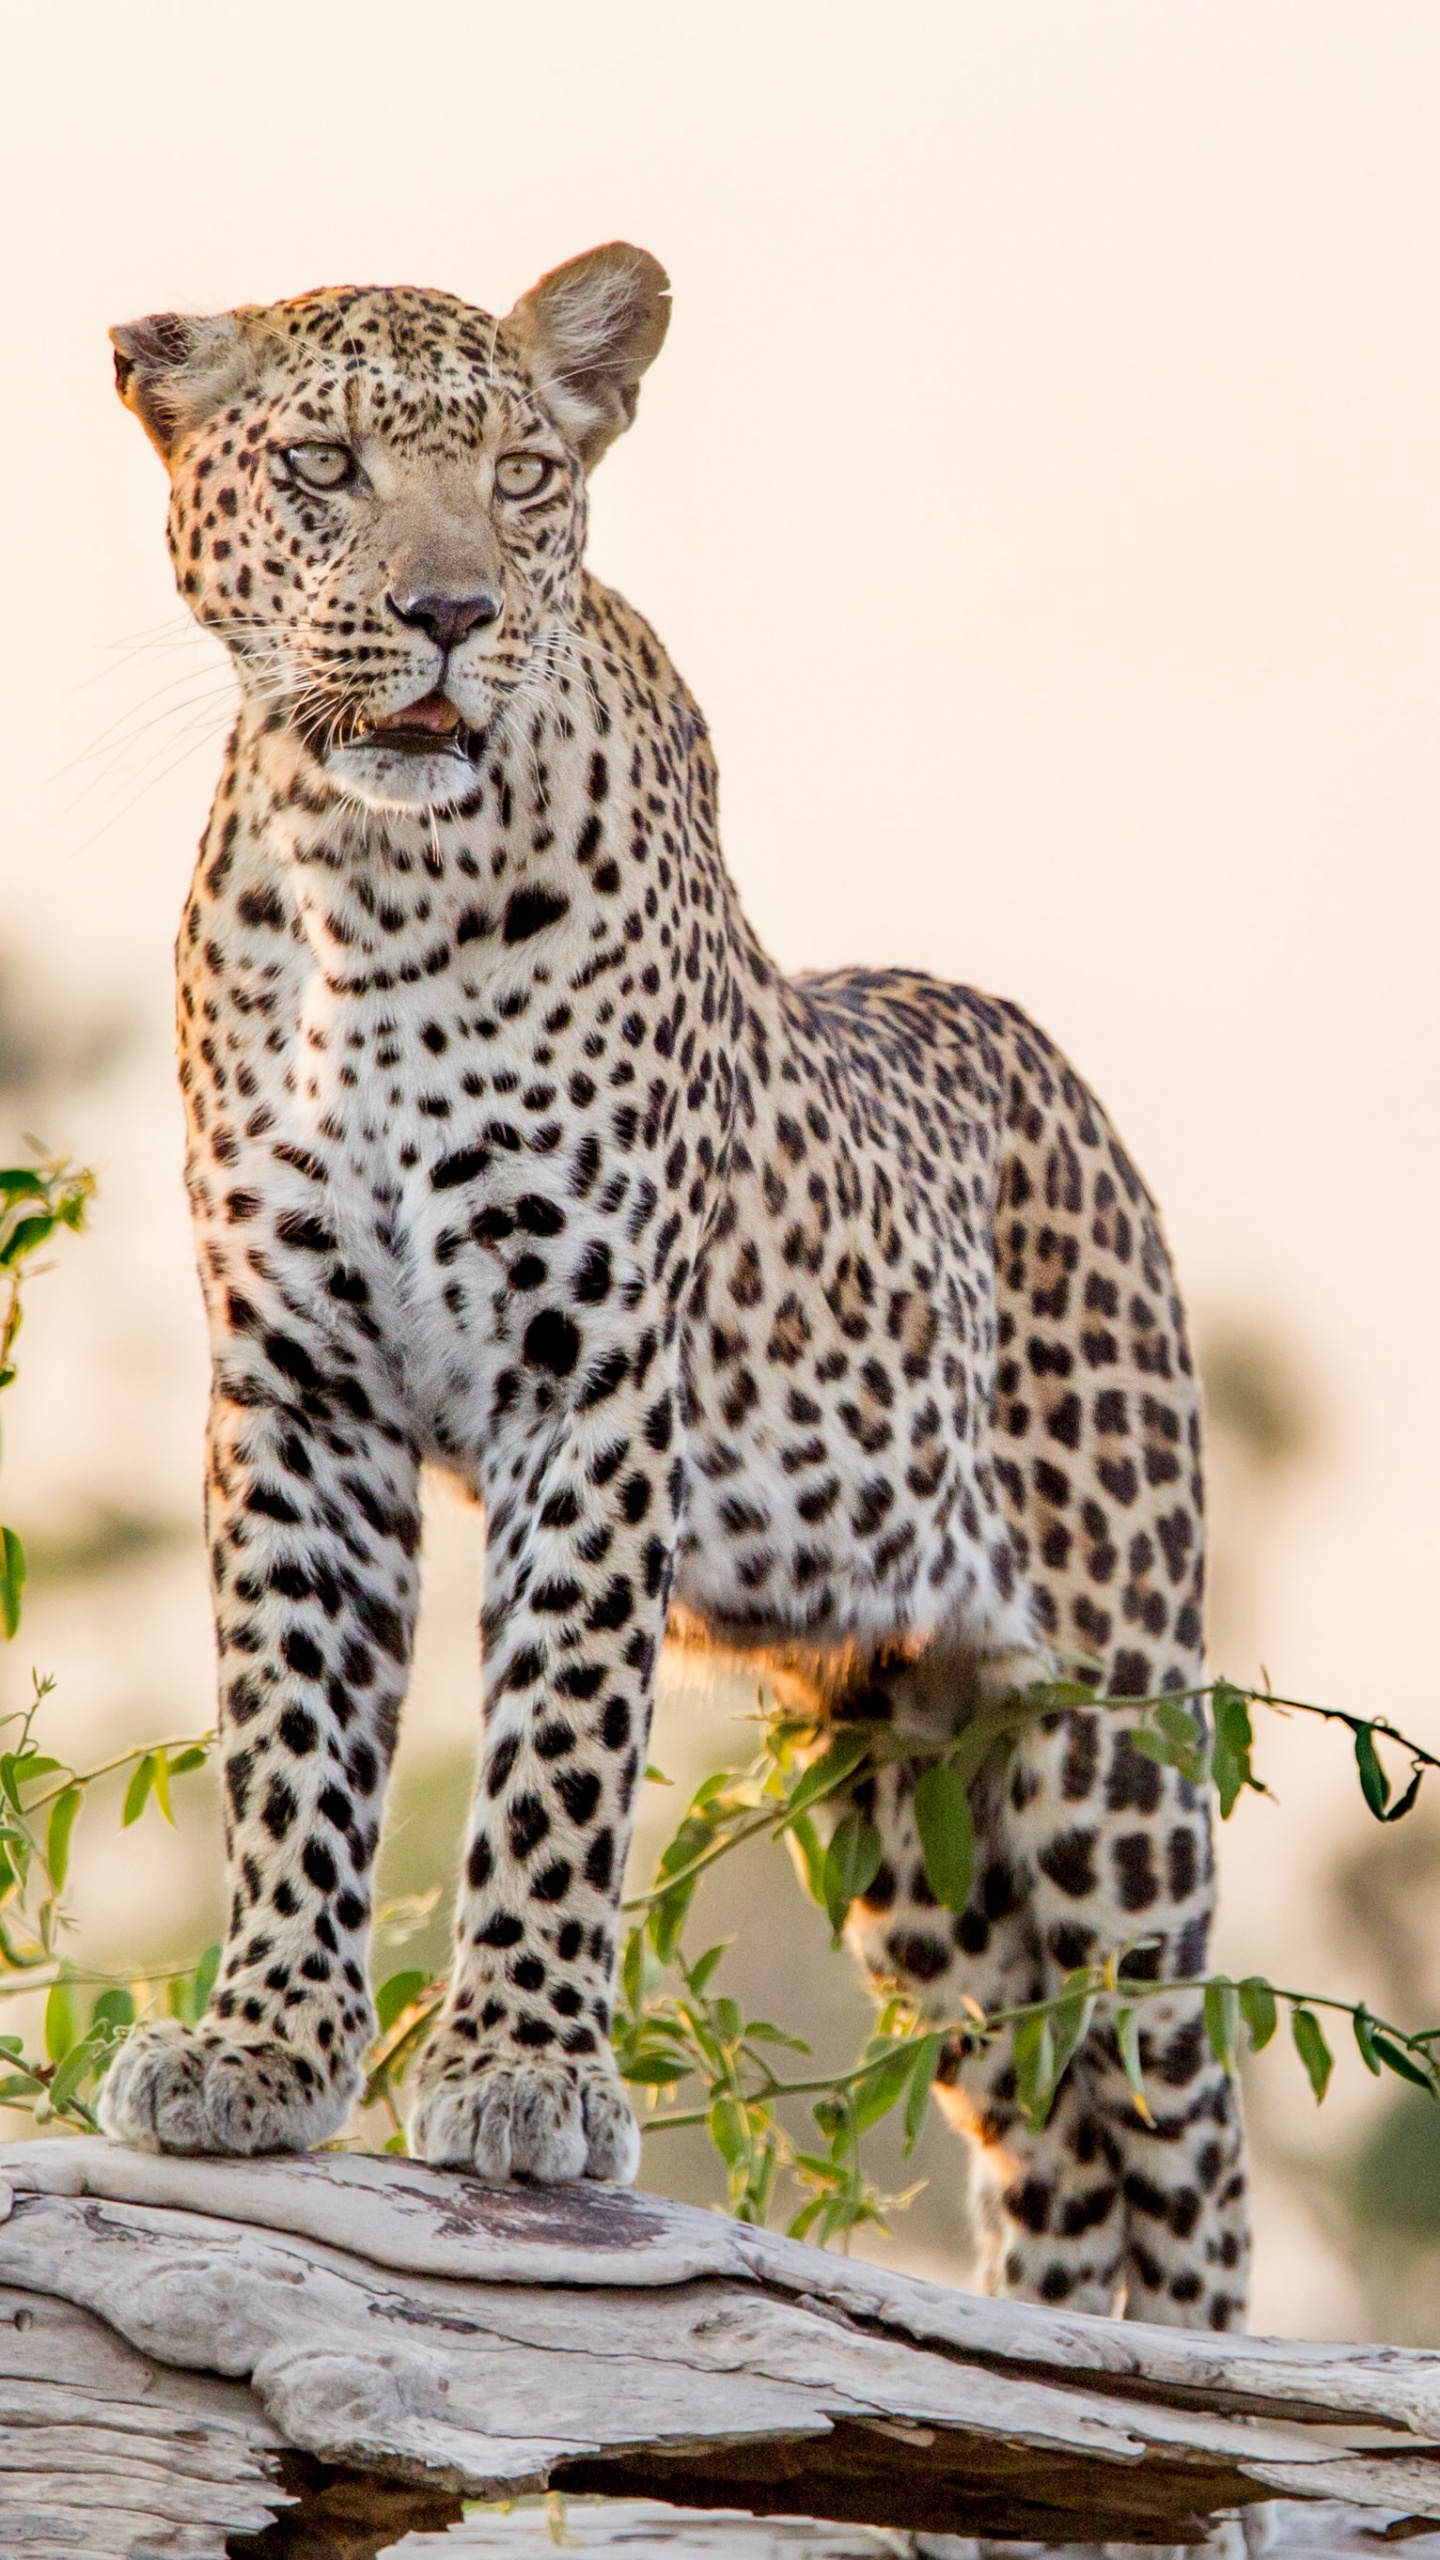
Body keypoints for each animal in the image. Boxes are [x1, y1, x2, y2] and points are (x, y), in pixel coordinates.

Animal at [101, 244, 1245, 2344]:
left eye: (525, 478)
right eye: (322, 467)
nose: (451, 614)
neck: (366, 881)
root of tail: (1063, 1083)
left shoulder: (590, 1376)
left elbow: (554, 1737)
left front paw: (519, 2076)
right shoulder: (296, 1391)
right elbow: (293, 1731)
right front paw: (262, 2049)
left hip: (1107, 1741)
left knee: (1179, 2126)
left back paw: (1195, 2379)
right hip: (911, 1810)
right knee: (1046, 2132)